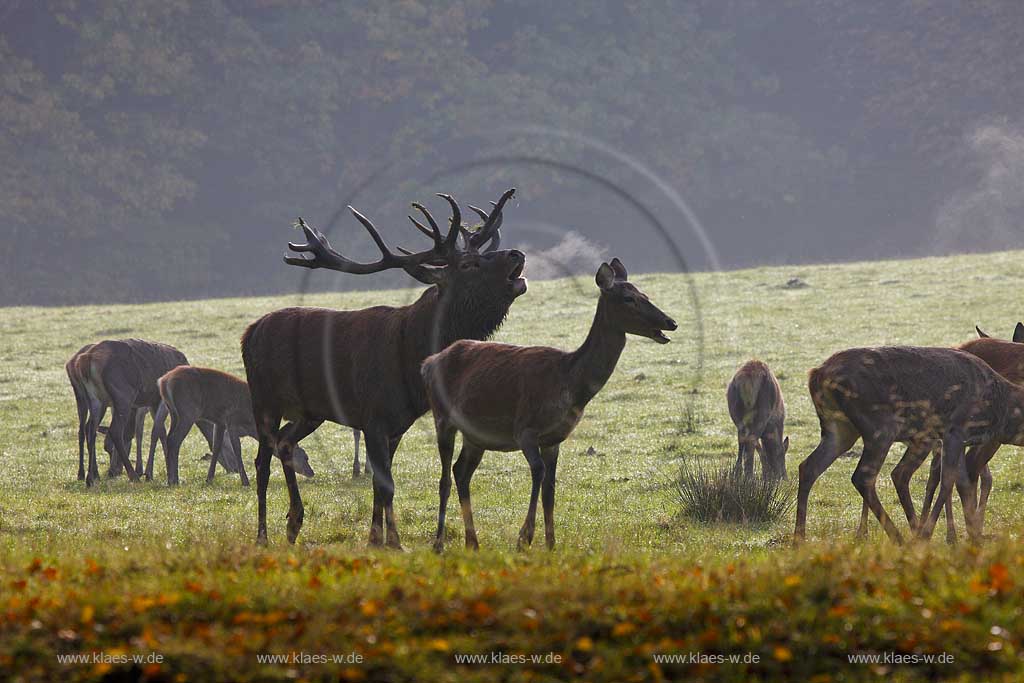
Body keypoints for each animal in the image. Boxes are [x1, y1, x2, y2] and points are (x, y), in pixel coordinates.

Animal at [155, 362, 313, 485]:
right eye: (304, 456)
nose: (311, 472)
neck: (251, 424)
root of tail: (163, 381)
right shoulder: (232, 421)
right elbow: (237, 450)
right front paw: (245, 481)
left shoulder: (220, 423)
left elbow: (216, 447)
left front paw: (209, 479)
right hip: (188, 412)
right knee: (175, 440)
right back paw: (174, 480)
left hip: (174, 413)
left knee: (168, 438)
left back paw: (170, 479)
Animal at [242, 189, 524, 548]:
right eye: (468, 264)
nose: (517, 253)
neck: (411, 356)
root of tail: (249, 333)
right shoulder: (373, 417)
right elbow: (386, 483)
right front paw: (394, 542)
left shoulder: (397, 424)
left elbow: (380, 482)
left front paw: (377, 538)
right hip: (264, 399)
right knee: (262, 461)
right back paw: (263, 536)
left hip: (310, 412)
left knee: (285, 443)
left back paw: (294, 523)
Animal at [419, 259, 675, 552]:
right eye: (628, 298)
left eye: (645, 294)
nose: (671, 323)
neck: (570, 386)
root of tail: (428, 363)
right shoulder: (525, 429)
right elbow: (539, 473)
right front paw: (524, 538)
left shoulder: (555, 439)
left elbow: (550, 488)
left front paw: (552, 543)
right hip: (442, 418)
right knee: (445, 478)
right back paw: (439, 543)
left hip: (475, 435)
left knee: (461, 472)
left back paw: (473, 542)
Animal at [794, 348, 1024, 544]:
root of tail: (816, 375)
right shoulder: (955, 429)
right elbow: (947, 481)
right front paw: (929, 533)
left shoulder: (957, 440)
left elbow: (963, 484)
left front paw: (974, 537)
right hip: (880, 425)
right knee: (864, 476)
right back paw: (899, 538)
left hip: (840, 428)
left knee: (808, 466)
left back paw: (799, 539)